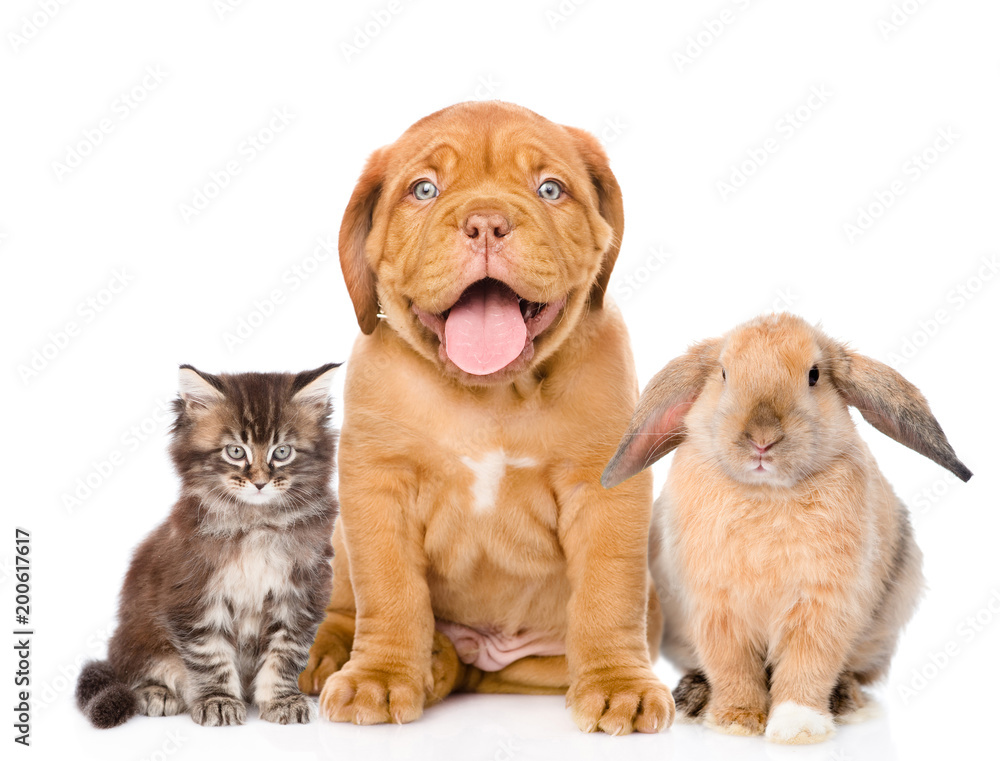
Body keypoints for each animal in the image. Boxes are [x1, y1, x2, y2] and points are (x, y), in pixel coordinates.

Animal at [75, 366, 340, 728]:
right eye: (235, 451)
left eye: (282, 452)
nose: (260, 482)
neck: (255, 524)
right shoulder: (193, 594)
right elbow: (211, 655)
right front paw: (219, 701)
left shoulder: (301, 594)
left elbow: (285, 654)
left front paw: (281, 701)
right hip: (138, 639)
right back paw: (157, 693)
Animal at [296, 98, 672, 732]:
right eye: (424, 189)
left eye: (550, 189)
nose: (488, 223)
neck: (491, 395)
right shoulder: (377, 487)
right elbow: (390, 591)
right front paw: (379, 676)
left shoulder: (604, 490)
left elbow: (607, 592)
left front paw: (619, 685)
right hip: (344, 540)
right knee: (349, 602)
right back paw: (348, 657)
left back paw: (444, 663)